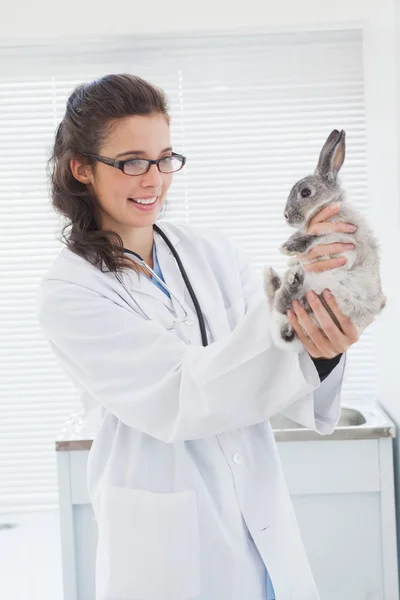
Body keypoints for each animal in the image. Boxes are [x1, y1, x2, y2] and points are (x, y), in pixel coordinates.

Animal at [264, 127, 386, 352]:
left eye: (305, 192)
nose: (285, 216)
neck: (325, 206)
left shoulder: (344, 238)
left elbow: (314, 236)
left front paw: (289, 248)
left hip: (326, 298)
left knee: (285, 305)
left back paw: (287, 278)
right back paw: (280, 277)